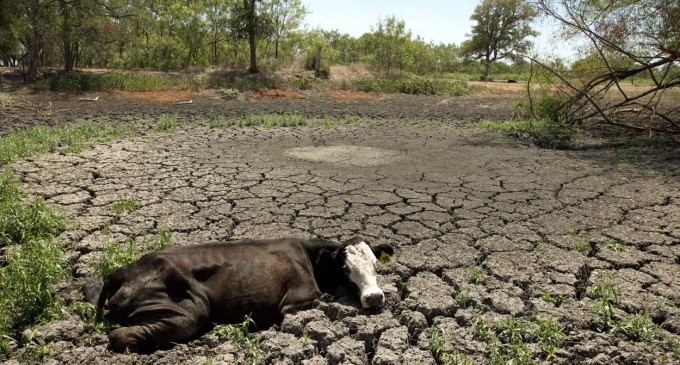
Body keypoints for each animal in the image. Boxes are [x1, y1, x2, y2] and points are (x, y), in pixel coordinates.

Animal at [85, 236, 394, 352]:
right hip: (189, 310)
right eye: (345, 268)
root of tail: (119, 273)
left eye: (375, 264)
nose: (375, 297)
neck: (309, 255)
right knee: (119, 335)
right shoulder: (295, 301)